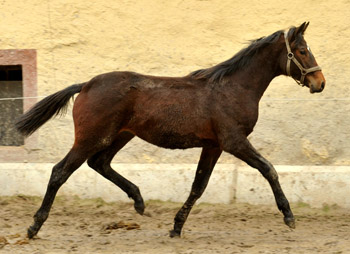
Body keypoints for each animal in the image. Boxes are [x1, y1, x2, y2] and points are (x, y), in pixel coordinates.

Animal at [15, 21, 324, 238]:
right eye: (302, 51)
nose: (320, 83)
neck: (232, 88)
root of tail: (86, 85)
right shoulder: (233, 141)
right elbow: (268, 169)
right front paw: (289, 217)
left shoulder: (213, 145)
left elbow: (199, 186)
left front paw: (176, 227)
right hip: (91, 137)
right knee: (60, 171)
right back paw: (34, 227)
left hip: (119, 135)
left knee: (99, 163)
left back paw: (139, 201)